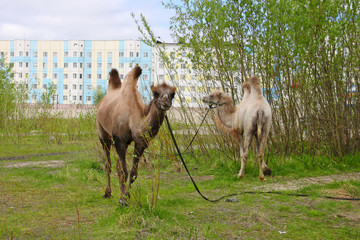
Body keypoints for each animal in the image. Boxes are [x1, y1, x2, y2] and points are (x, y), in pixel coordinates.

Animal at [95, 66, 175, 204]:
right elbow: (124, 171)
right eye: (155, 93)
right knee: (108, 164)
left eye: (172, 94)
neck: (132, 118)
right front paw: (123, 199)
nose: (166, 101)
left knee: (116, 166)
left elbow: (132, 173)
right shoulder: (119, 140)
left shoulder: (140, 142)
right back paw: (107, 192)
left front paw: (126, 196)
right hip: (103, 134)